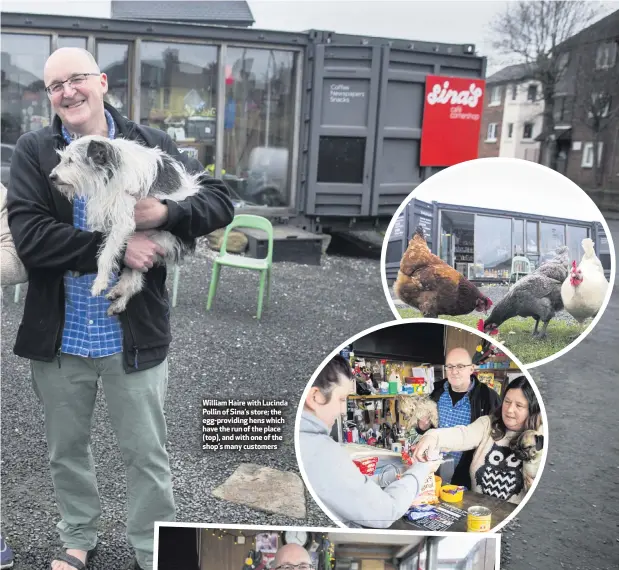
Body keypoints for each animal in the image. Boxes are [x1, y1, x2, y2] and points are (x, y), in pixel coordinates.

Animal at [50, 135, 202, 316]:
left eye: (71, 160)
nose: (51, 176)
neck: (111, 172)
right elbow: (99, 242)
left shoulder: (123, 221)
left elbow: (105, 255)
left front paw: (100, 282)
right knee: (135, 279)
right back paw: (119, 295)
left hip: (158, 239)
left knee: (135, 282)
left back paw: (120, 294)